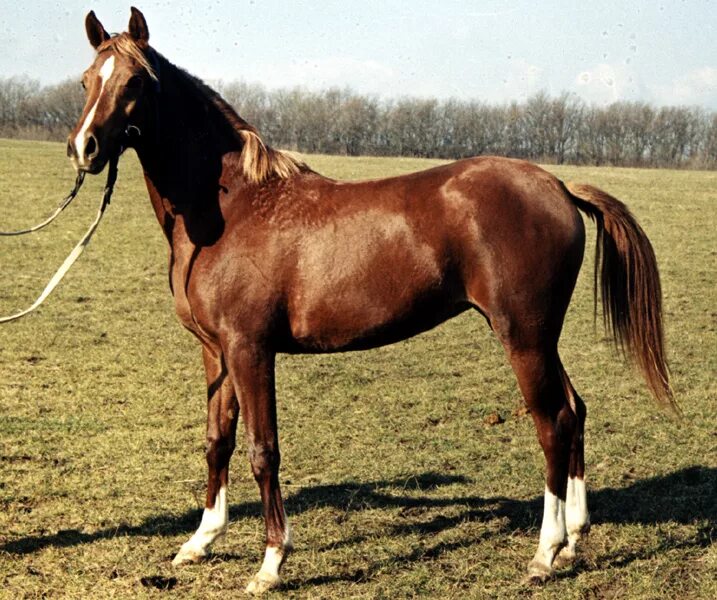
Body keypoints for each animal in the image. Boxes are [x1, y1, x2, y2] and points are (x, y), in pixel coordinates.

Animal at [64, 7, 676, 592]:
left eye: (135, 81)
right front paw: (201, 541)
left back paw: (545, 554)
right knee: (574, 409)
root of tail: (559, 186)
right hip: (542, 336)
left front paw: (270, 564)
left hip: (523, 335)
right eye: (87, 80)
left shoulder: (250, 350)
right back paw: (573, 538)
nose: (84, 148)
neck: (233, 208)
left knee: (551, 422)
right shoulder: (216, 352)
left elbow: (264, 450)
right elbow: (219, 441)